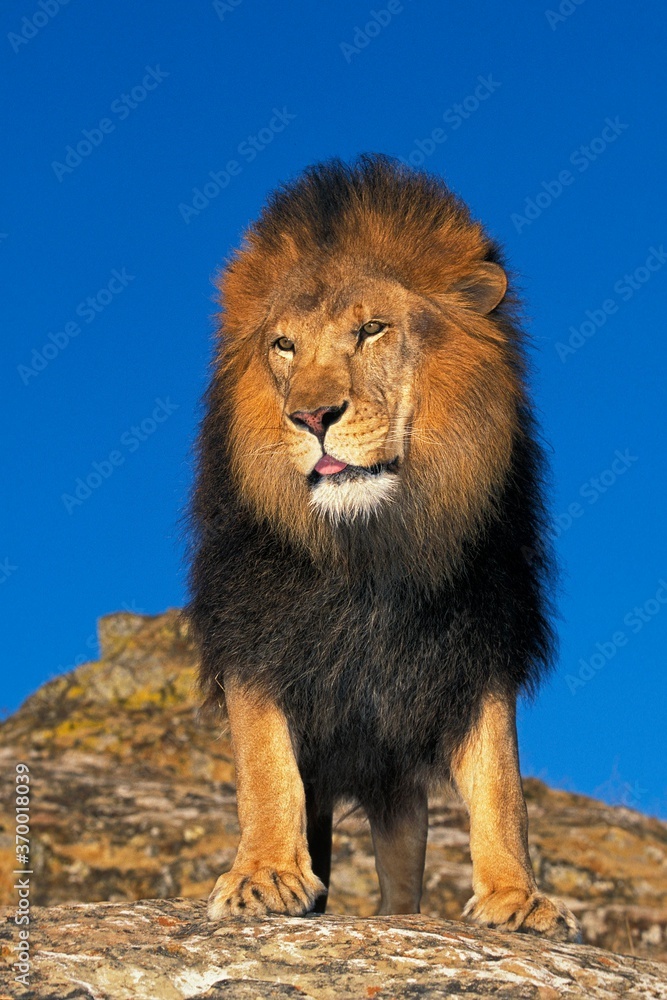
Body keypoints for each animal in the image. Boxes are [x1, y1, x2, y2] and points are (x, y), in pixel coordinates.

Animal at [188, 155, 580, 941]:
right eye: (283, 346)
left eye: (371, 329)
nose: (311, 416)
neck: (370, 552)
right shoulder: (256, 630)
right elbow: (265, 764)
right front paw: (265, 876)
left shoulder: (478, 642)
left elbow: (501, 780)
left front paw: (516, 896)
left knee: (401, 879)